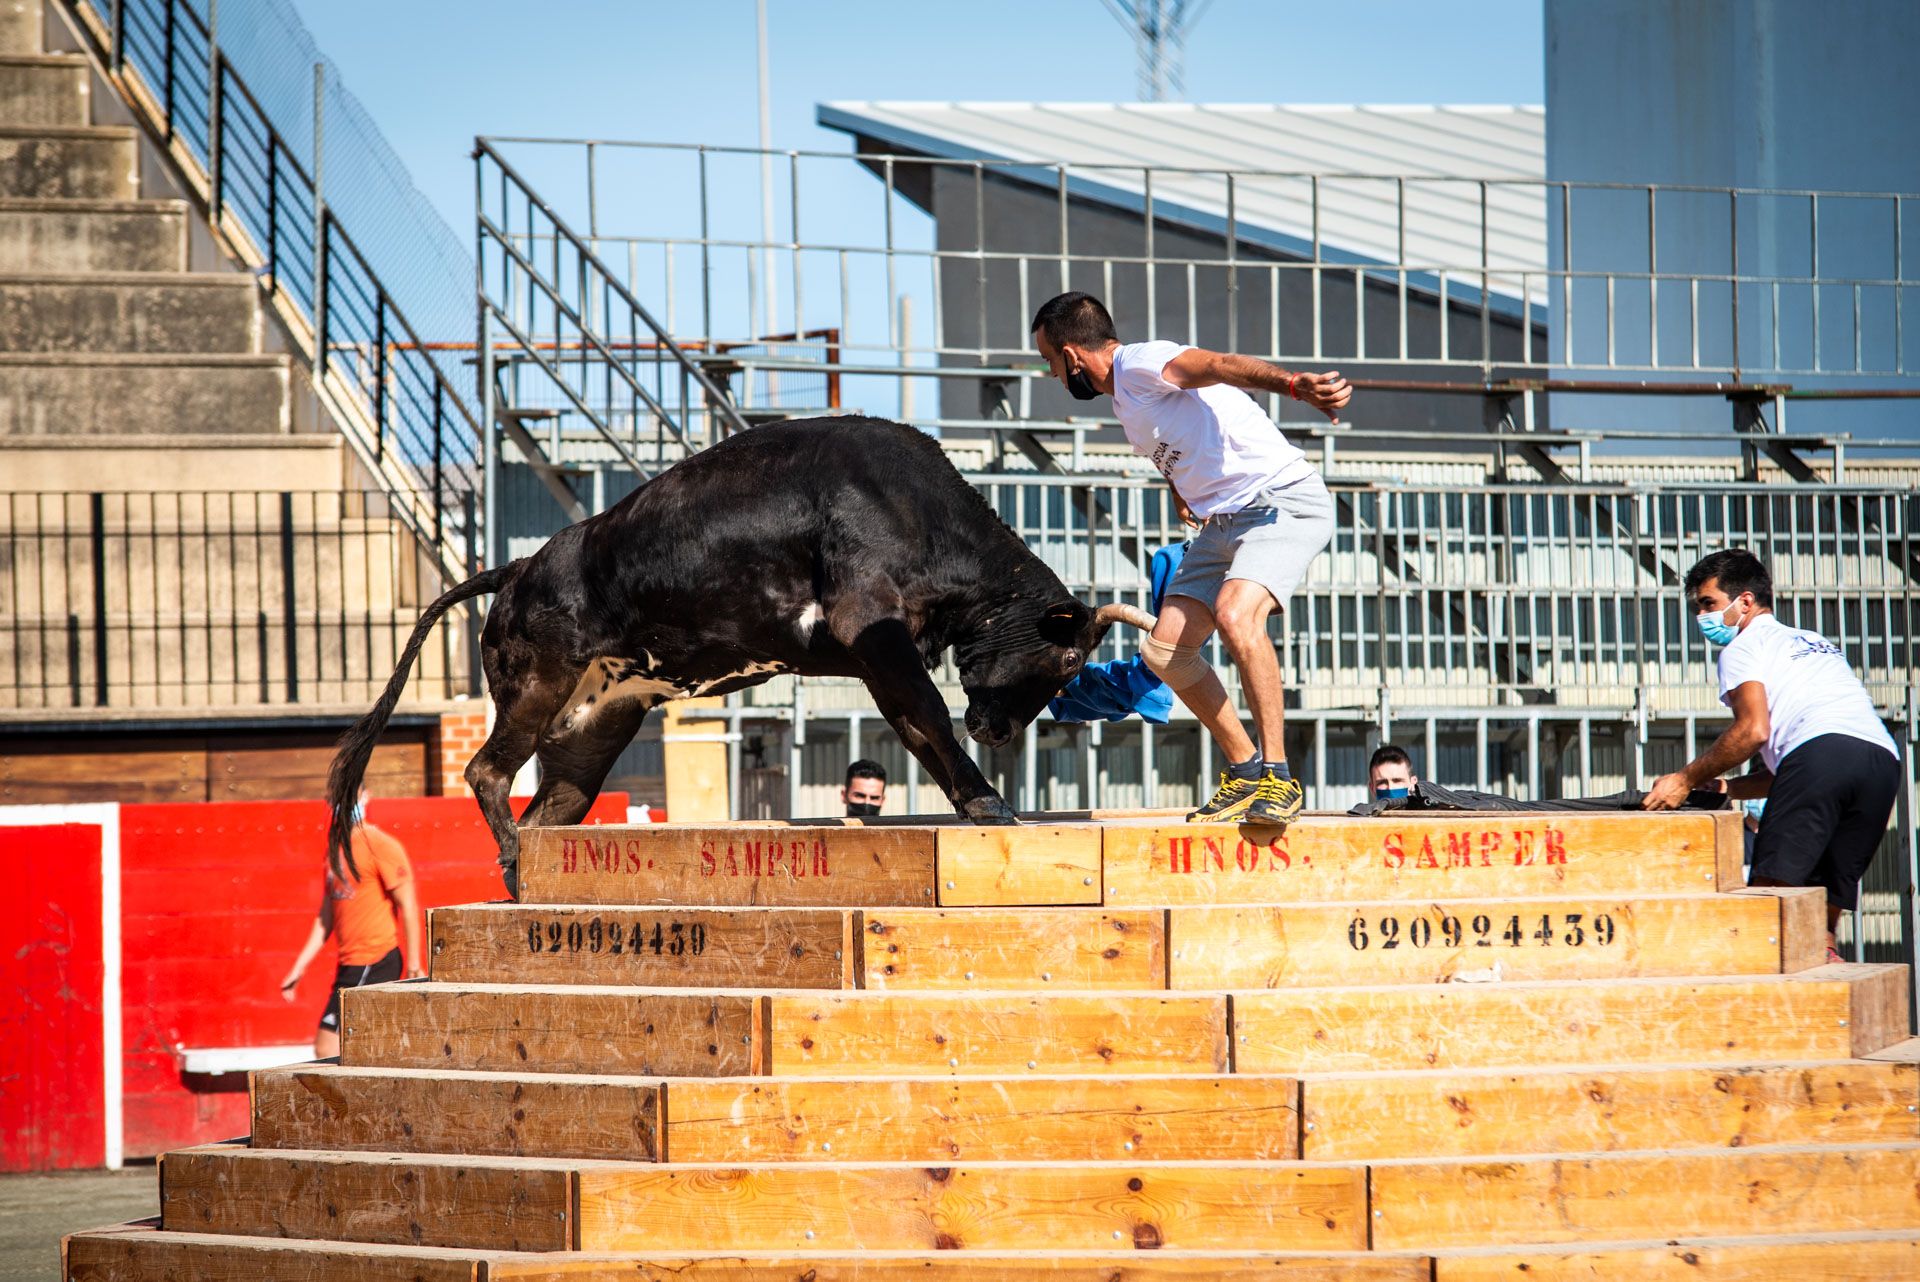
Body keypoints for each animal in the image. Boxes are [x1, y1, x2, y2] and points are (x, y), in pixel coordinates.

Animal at [326, 420, 1152, 890]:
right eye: (1066, 663)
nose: (1002, 731)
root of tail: (521, 567)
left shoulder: (876, 655)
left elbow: (920, 727)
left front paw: (978, 800)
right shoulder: (871, 628)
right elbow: (927, 714)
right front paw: (990, 803)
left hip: (598, 724)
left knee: (550, 808)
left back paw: (522, 871)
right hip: (536, 685)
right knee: (486, 770)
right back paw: (508, 865)